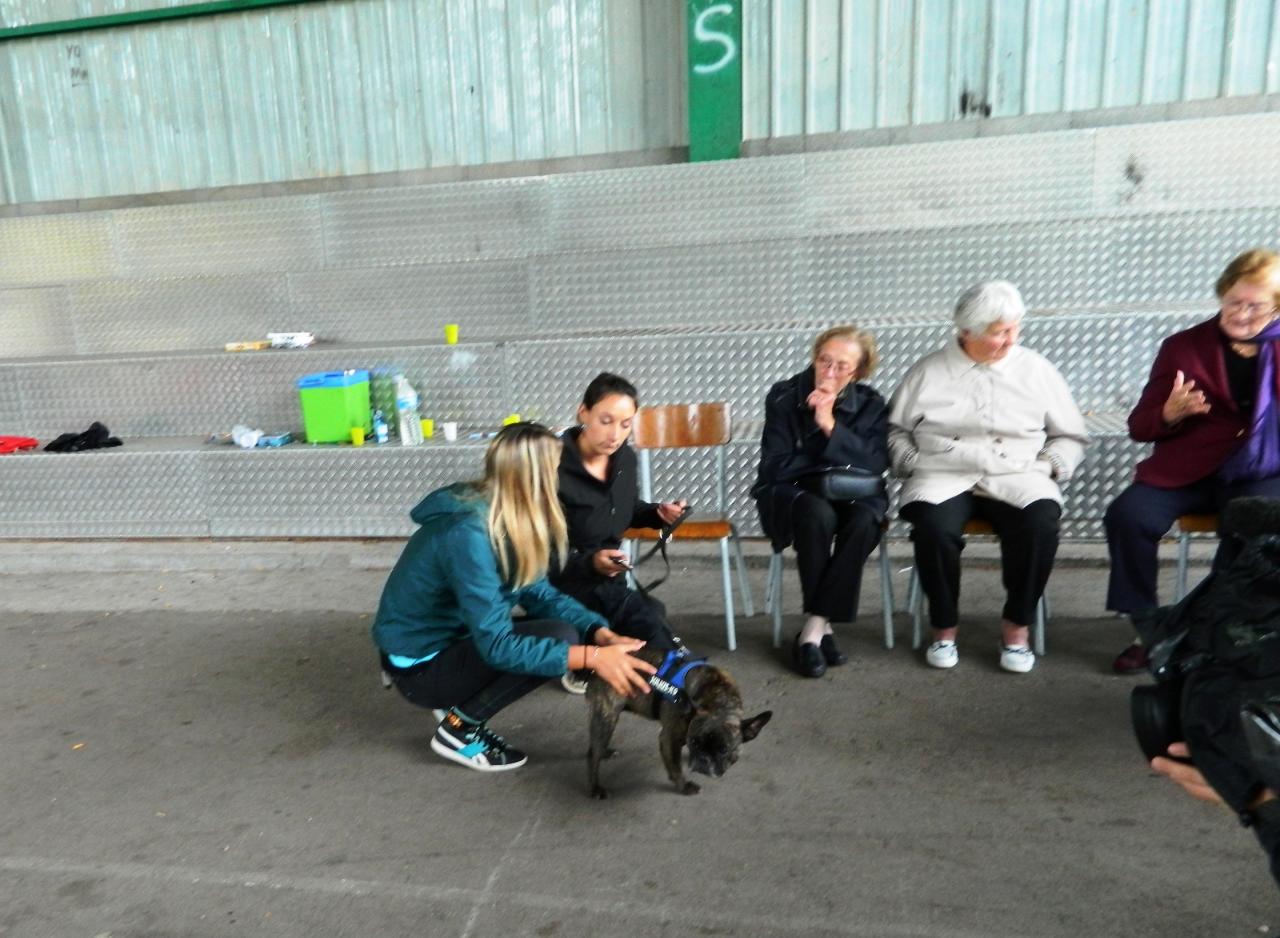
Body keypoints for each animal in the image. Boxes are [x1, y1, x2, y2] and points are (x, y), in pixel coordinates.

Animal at [586, 650, 768, 798]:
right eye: (694, 741)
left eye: (724, 749)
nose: (703, 760)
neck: (716, 700)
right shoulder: (669, 738)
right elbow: (675, 766)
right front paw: (684, 786)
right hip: (607, 716)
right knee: (593, 755)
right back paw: (595, 788)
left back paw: (605, 752)